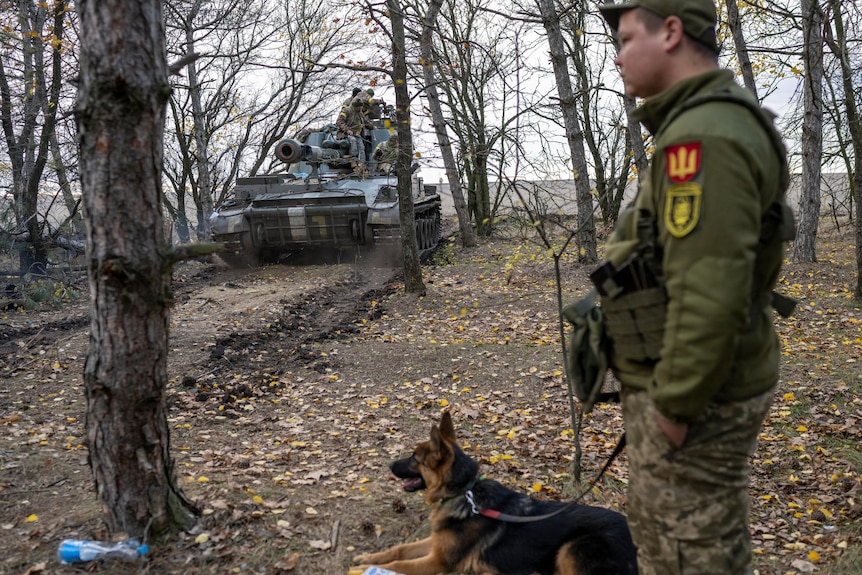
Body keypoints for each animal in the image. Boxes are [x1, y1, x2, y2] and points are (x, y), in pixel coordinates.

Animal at [352, 412, 640, 572]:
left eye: (414, 458)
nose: (389, 465)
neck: (465, 493)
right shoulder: (436, 544)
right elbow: (400, 550)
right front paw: (368, 557)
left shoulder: (439, 562)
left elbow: (399, 565)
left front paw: (369, 567)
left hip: (572, 548)